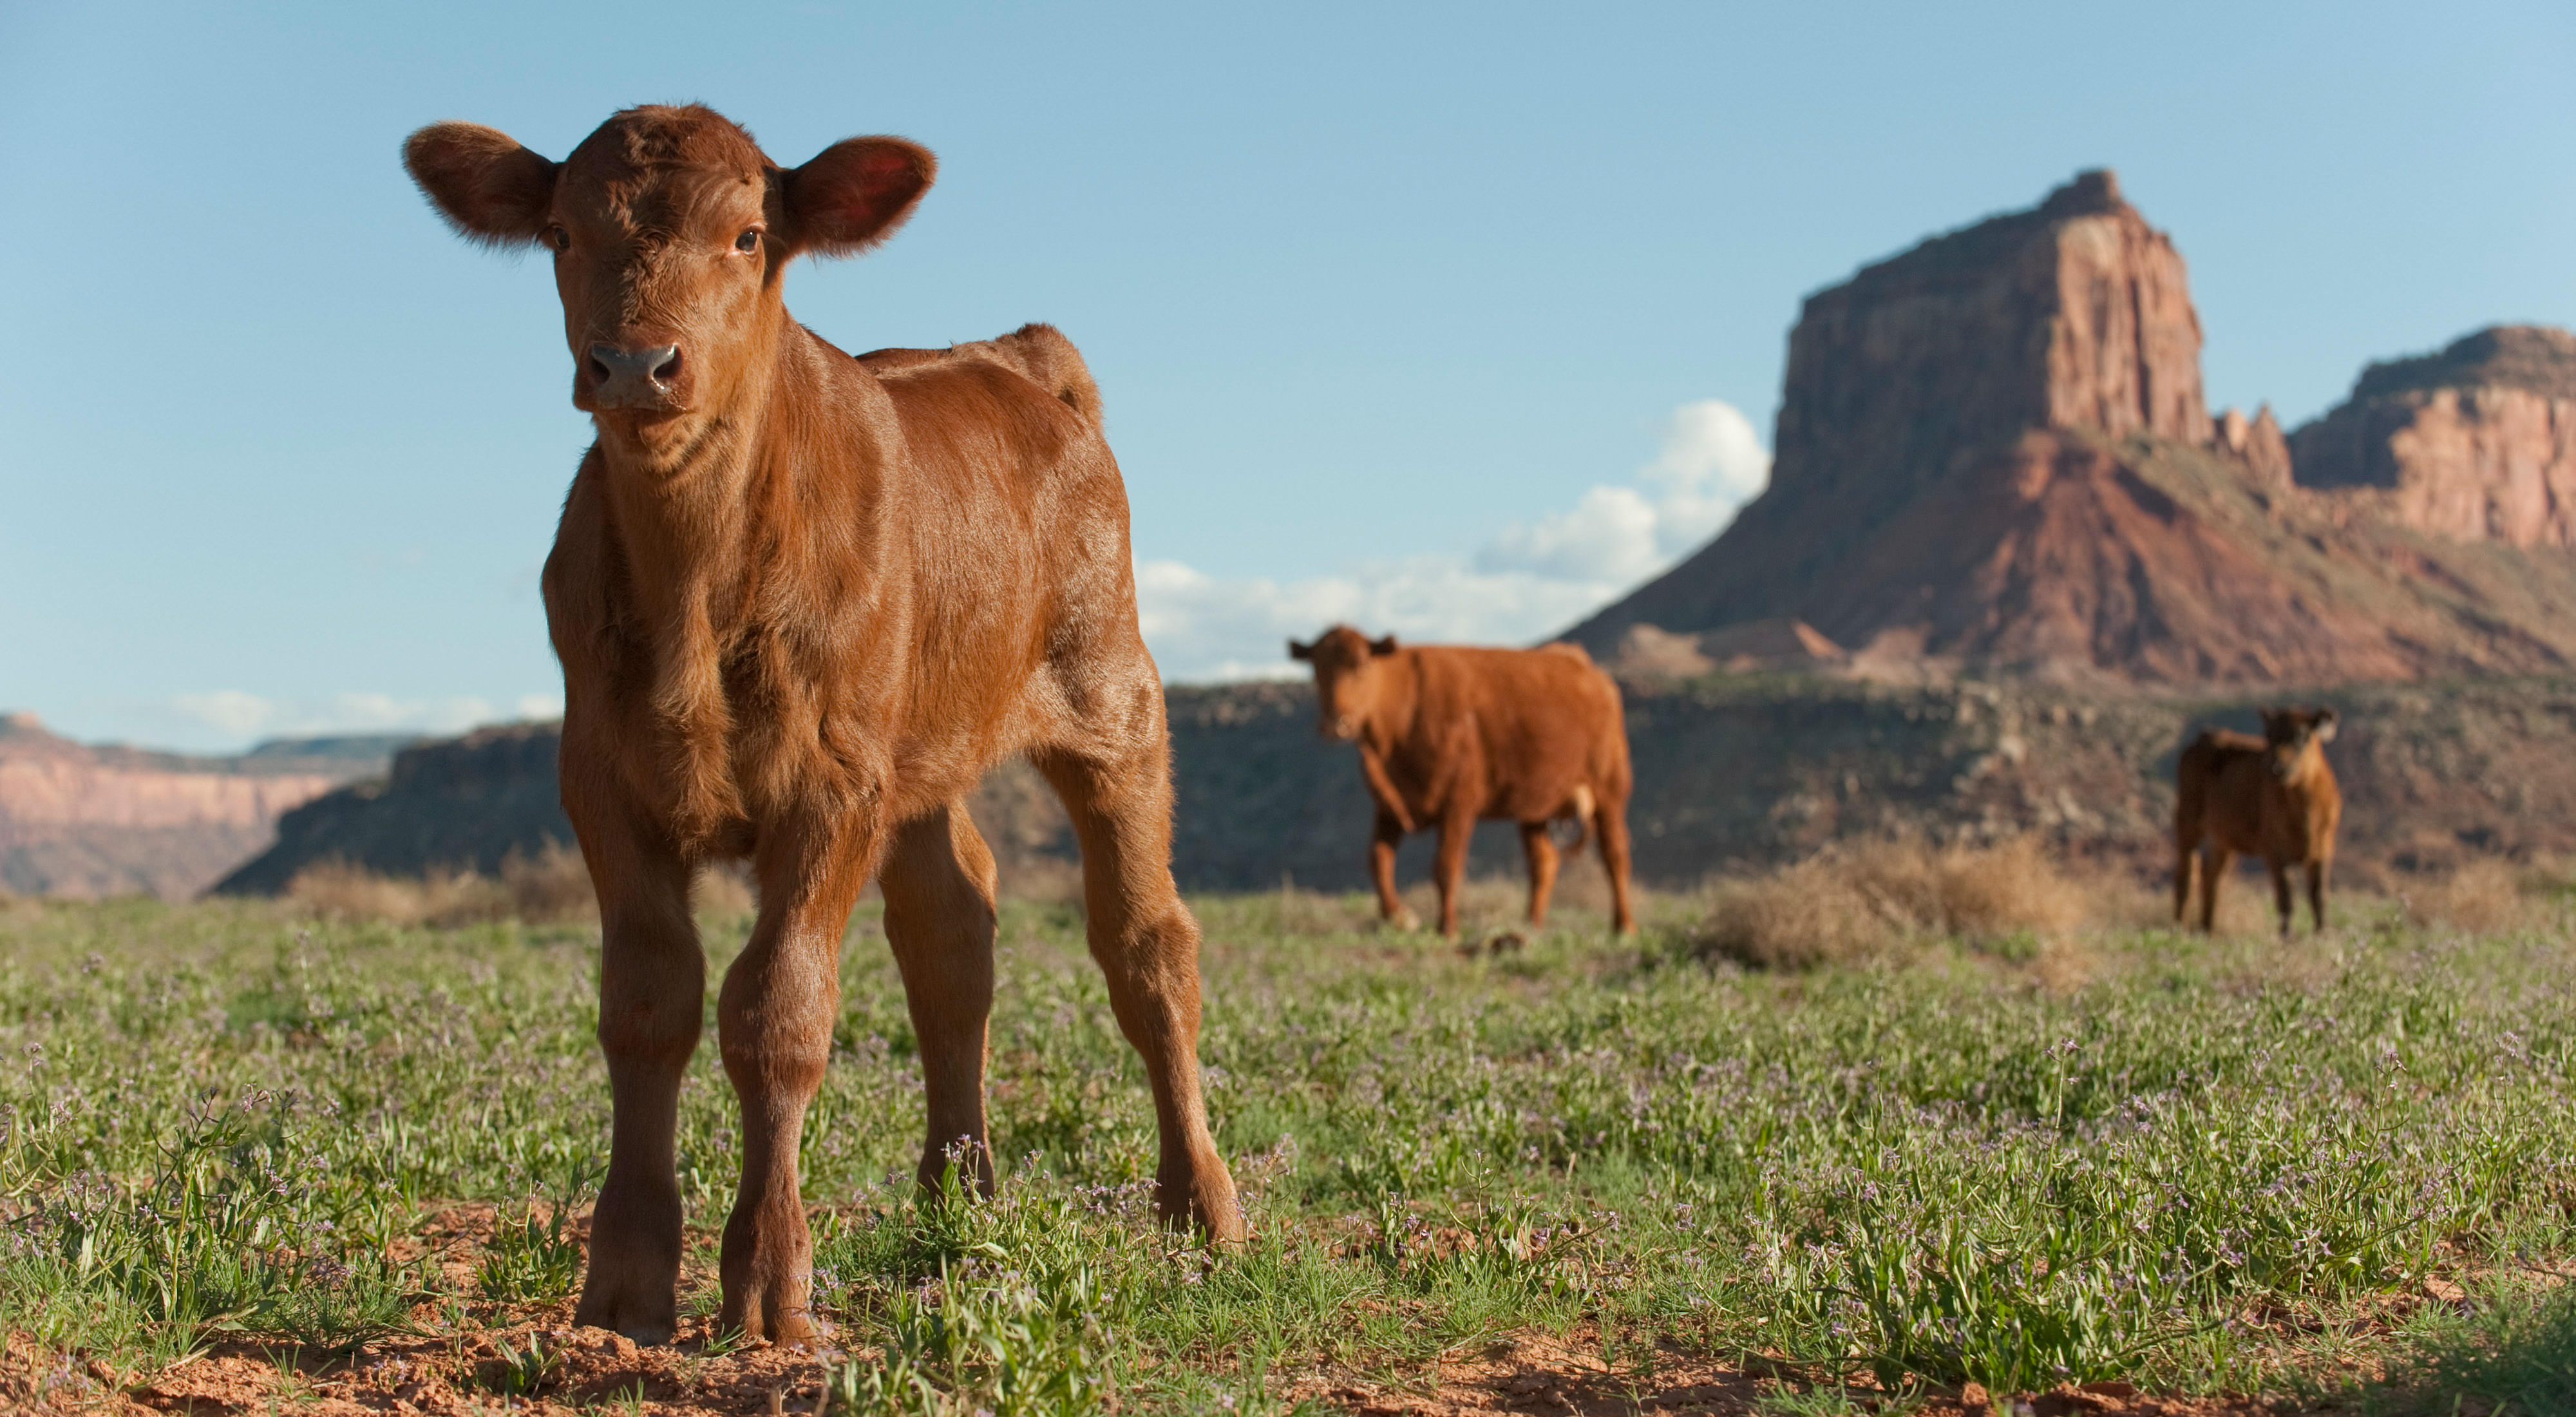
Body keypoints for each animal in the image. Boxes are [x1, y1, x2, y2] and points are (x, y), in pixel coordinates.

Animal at [402, 106, 1236, 1350]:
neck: (697, 586)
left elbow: (778, 1009)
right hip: (922, 754)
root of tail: (1017, 356)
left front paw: (770, 1282)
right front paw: (627, 1281)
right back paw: (958, 1198)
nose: (634, 365)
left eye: (750, 235)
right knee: (953, 934)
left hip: (1111, 697)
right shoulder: (600, 780)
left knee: (1148, 946)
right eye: (559, 232)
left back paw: (1201, 1210)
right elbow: (648, 1003)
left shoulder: (830, 788)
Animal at [1283, 634, 1628, 943]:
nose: (1334, 724)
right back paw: (1533, 926)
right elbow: (1378, 859)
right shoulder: (1388, 806)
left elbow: (1446, 866)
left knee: (1615, 856)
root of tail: (1589, 671)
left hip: (1609, 791)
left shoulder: (1459, 802)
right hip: (1535, 806)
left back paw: (1624, 927)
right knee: (1544, 862)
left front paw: (1448, 929)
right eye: (1316, 670)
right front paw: (1398, 917)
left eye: (1363, 666)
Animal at [2164, 706, 2349, 938]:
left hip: (2223, 838)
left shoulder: (2323, 849)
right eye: (2268, 735)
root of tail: (2200, 739)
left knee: (2211, 874)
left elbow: (2319, 897)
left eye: (2302, 736)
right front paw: (2287, 937)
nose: (2276, 767)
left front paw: (2322, 934)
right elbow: (2286, 899)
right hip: (2188, 820)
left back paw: (2207, 929)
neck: (2306, 812)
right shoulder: (2274, 852)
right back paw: (2178, 928)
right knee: (2186, 874)